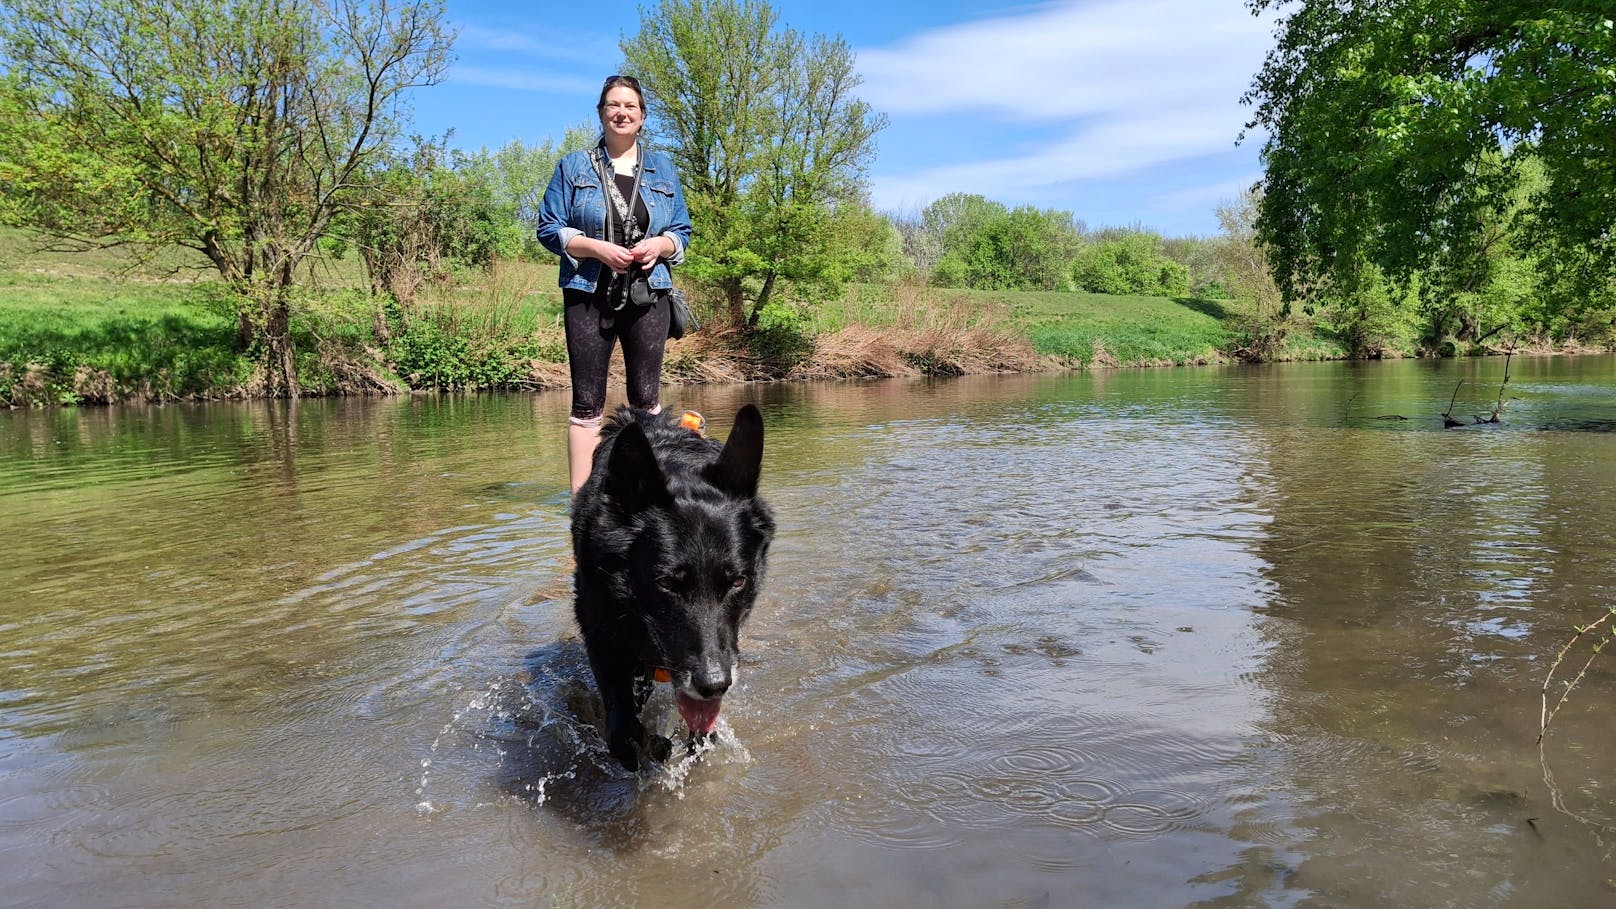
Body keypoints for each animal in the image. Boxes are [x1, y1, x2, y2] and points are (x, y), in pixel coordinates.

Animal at [572, 402, 772, 763]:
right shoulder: (601, 634)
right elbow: (622, 730)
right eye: (666, 582)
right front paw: (651, 745)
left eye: (737, 581)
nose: (714, 685)